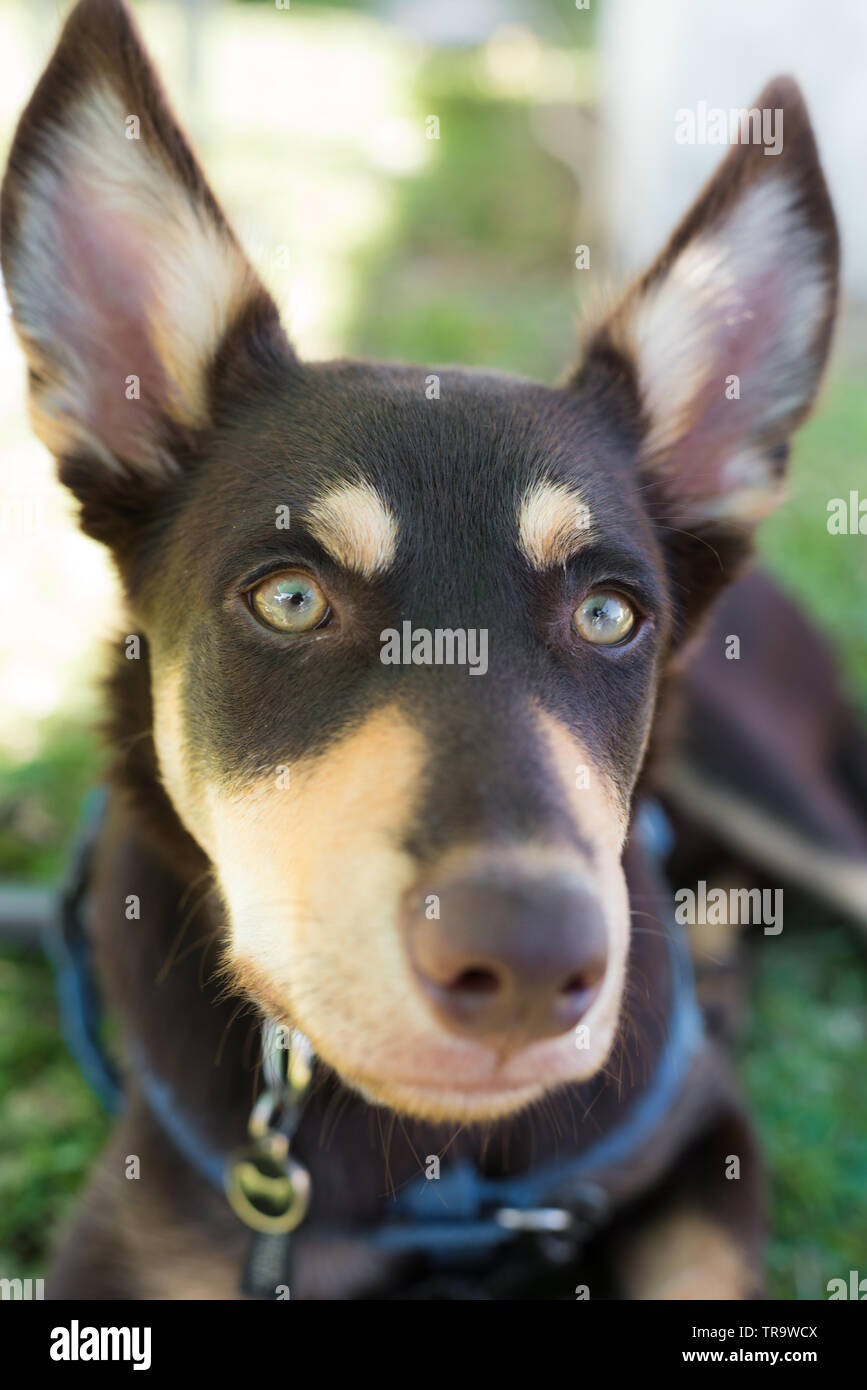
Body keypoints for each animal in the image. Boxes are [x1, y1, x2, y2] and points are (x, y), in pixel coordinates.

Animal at [1, 2, 861, 1301]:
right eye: (290, 597)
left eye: (611, 614)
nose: (526, 967)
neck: (441, 1166)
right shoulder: (138, 1244)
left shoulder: (708, 1134)